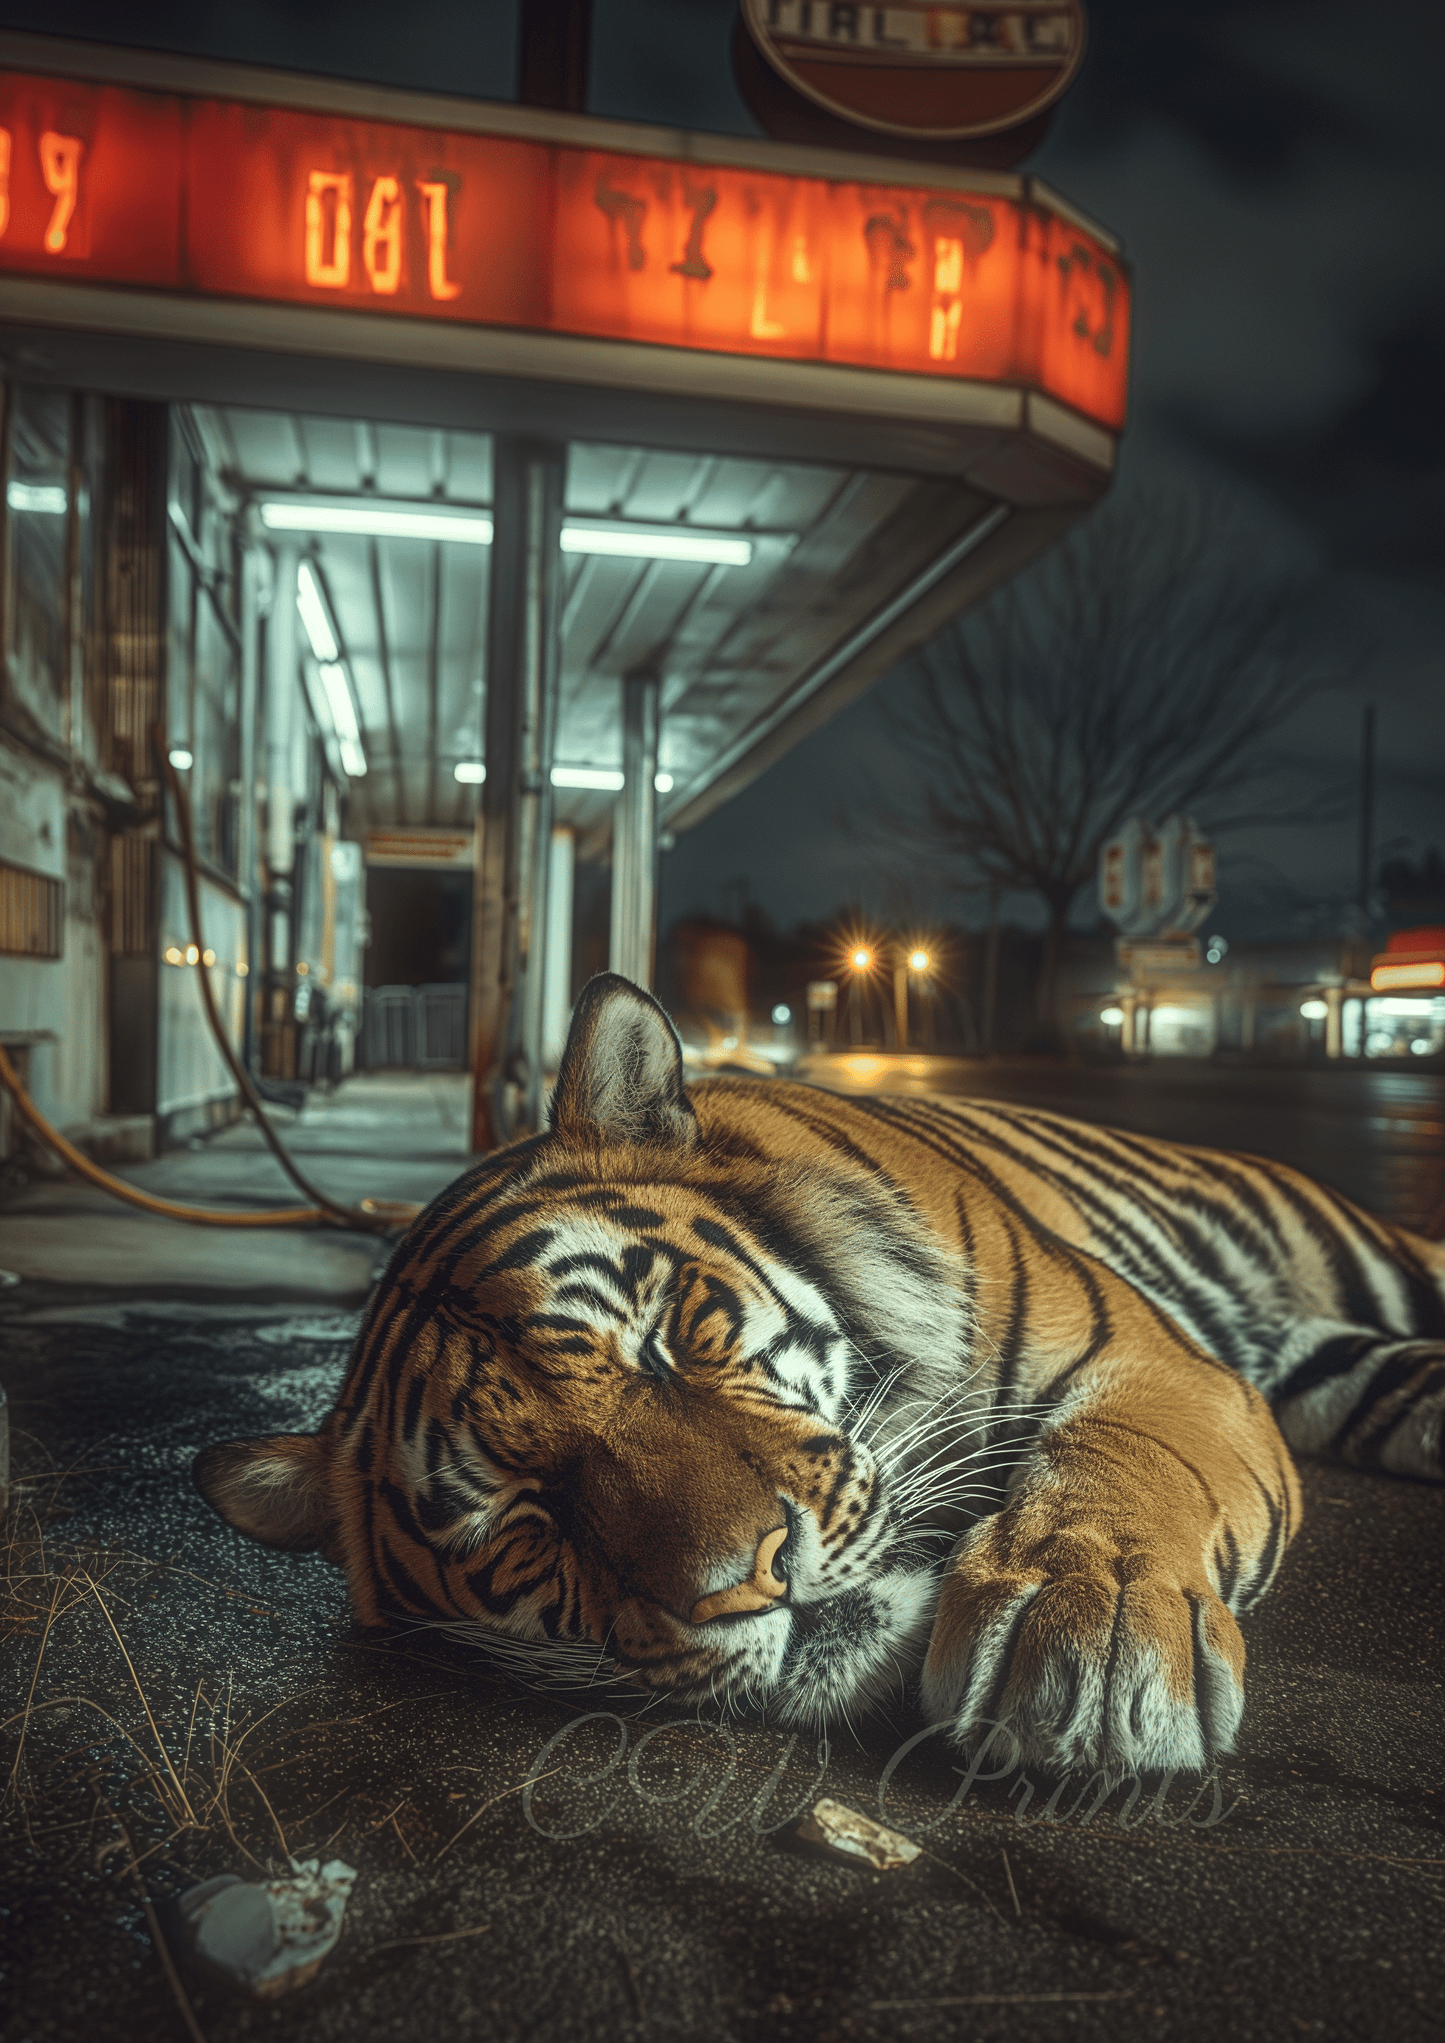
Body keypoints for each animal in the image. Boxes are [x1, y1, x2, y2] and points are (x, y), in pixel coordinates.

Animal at [195, 973, 1445, 1776]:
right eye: (522, 1517)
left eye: (668, 1338)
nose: (754, 1582)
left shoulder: (1148, 1362)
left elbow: (1116, 1470)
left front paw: (1087, 1653)